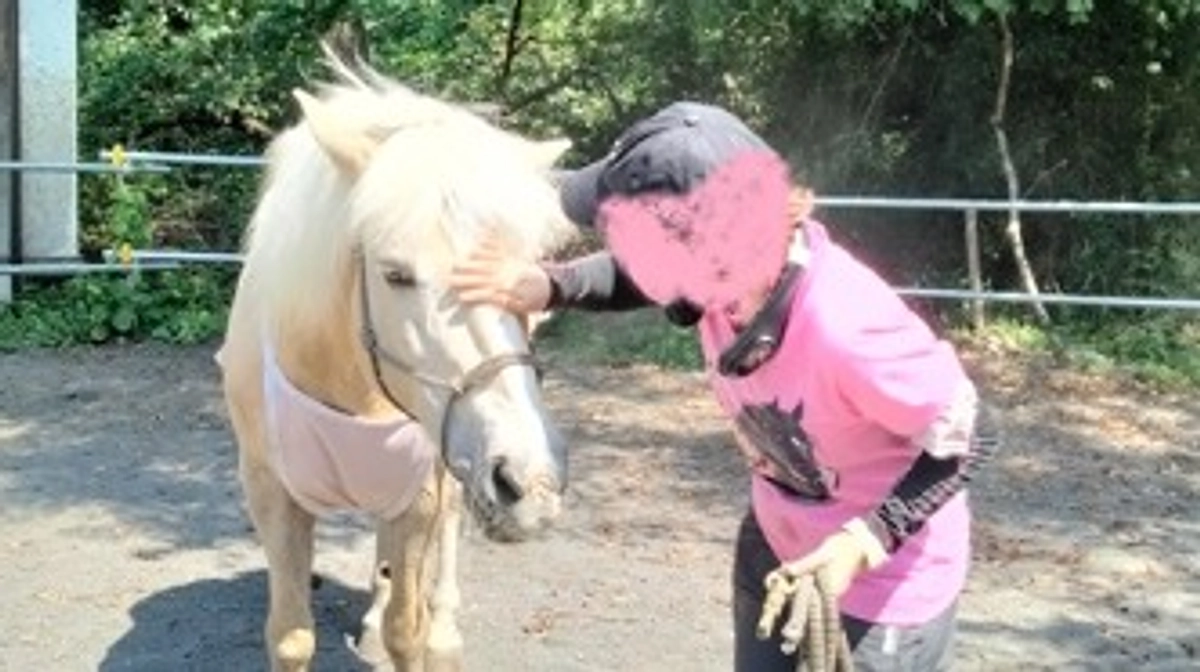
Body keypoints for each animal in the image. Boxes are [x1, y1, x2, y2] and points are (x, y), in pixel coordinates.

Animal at [217, 47, 574, 672]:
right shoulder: (270, 492)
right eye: (395, 274)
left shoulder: (421, 490)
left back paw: (444, 632)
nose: (530, 482)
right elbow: (291, 635)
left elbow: (407, 630)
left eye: (529, 276)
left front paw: (422, 634)